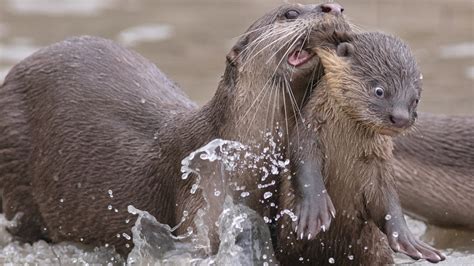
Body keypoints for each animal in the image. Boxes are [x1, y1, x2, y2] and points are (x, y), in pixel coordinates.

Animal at [276, 32, 446, 264]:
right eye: (379, 90)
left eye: (415, 99)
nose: (401, 118)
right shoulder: (308, 133)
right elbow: (304, 166)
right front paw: (315, 210)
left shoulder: (379, 164)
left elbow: (388, 200)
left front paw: (408, 240)